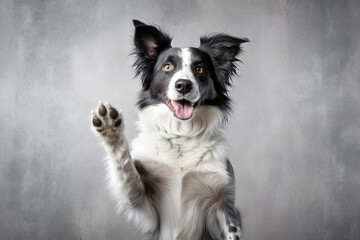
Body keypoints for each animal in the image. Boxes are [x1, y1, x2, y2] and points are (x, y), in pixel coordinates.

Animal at [90, 19, 248, 239]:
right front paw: (110, 129)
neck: (181, 135)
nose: (183, 85)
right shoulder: (144, 202)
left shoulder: (224, 204)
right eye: (167, 67)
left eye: (199, 69)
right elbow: (126, 169)